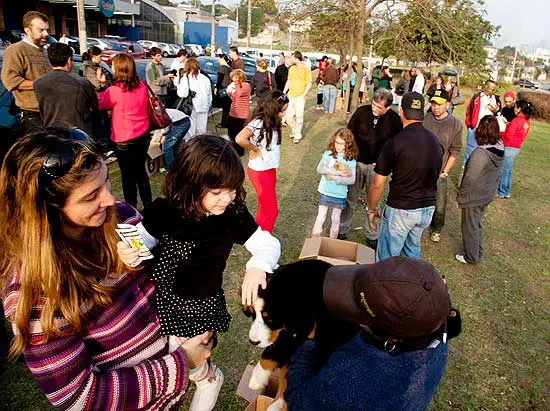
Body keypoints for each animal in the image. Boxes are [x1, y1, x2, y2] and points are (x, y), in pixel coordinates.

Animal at [244, 262, 360, 410]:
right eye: (253, 315)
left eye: (270, 320)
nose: (253, 341)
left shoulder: (301, 327)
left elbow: (278, 348)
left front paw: (257, 377)